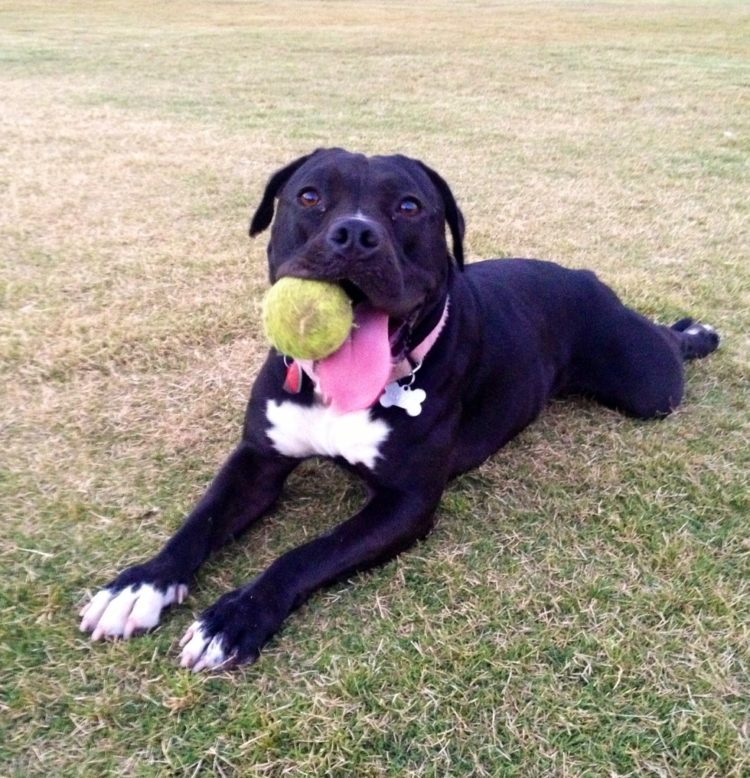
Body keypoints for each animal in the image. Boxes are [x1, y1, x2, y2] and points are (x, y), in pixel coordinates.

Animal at [81, 147, 724, 668]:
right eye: (309, 196)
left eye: (410, 207)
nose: (355, 235)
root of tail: (582, 274)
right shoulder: (258, 460)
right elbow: (201, 520)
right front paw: (140, 585)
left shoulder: (404, 503)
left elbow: (306, 554)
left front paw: (233, 617)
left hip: (647, 384)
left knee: (665, 353)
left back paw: (695, 332)